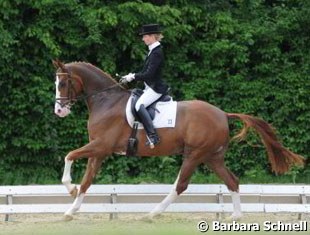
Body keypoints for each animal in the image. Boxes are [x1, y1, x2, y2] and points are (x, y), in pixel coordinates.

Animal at [53, 60, 306, 220]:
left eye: (63, 83)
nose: (59, 111)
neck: (106, 101)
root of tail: (223, 114)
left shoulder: (101, 146)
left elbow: (69, 156)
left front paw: (69, 188)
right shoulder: (99, 151)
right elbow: (86, 181)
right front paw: (70, 210)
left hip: (195, 154)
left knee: (181, 185)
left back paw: (152, 214)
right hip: (212, 157)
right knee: (232, 181)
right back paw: (235, 216)